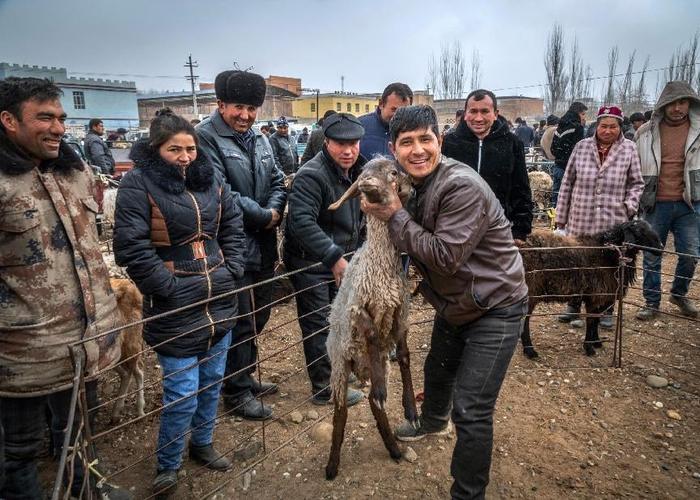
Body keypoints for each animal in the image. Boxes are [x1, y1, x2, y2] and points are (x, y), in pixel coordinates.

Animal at [326, 158, 418, 478]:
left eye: (394, 171)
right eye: (365, 171)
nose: (366, 182)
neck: (380, 263)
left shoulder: (401, 312)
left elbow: (404, 357)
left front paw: (411, 410)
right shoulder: (359, 311)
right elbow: (376, 337)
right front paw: (381, 388)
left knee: (374, 405)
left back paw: (393, 448)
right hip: (340, 366)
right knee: (341, 410)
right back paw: (332, 465)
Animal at [520, 221, 660, 358]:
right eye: (639, 231)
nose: (660, 246)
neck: (607, 254)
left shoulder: (602, 296)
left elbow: (596, 320)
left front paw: (596, 342)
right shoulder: (595, 295)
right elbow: (591, 320)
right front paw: (589, 347)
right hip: (530, 292)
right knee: (524, 321)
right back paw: (530, 350)